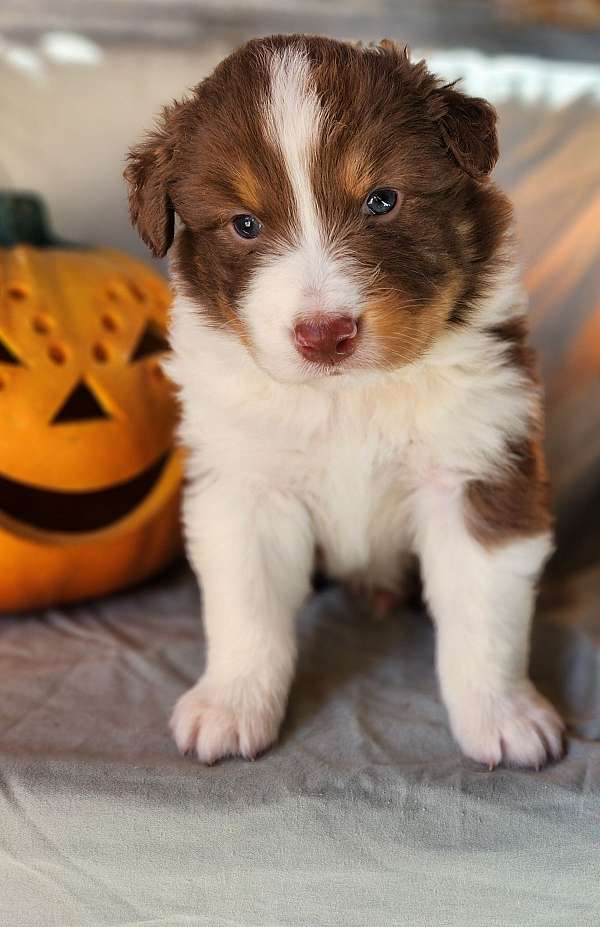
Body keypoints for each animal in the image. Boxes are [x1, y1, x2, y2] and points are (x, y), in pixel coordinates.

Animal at [124, 34, 564, 768]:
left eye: (382, 201)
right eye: (244, 223)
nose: (324, 335)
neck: (346, 399)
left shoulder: (478, 466)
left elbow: (484, 610)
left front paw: (505, 717)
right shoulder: (246, 485)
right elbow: (247, 609)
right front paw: (230, 705)